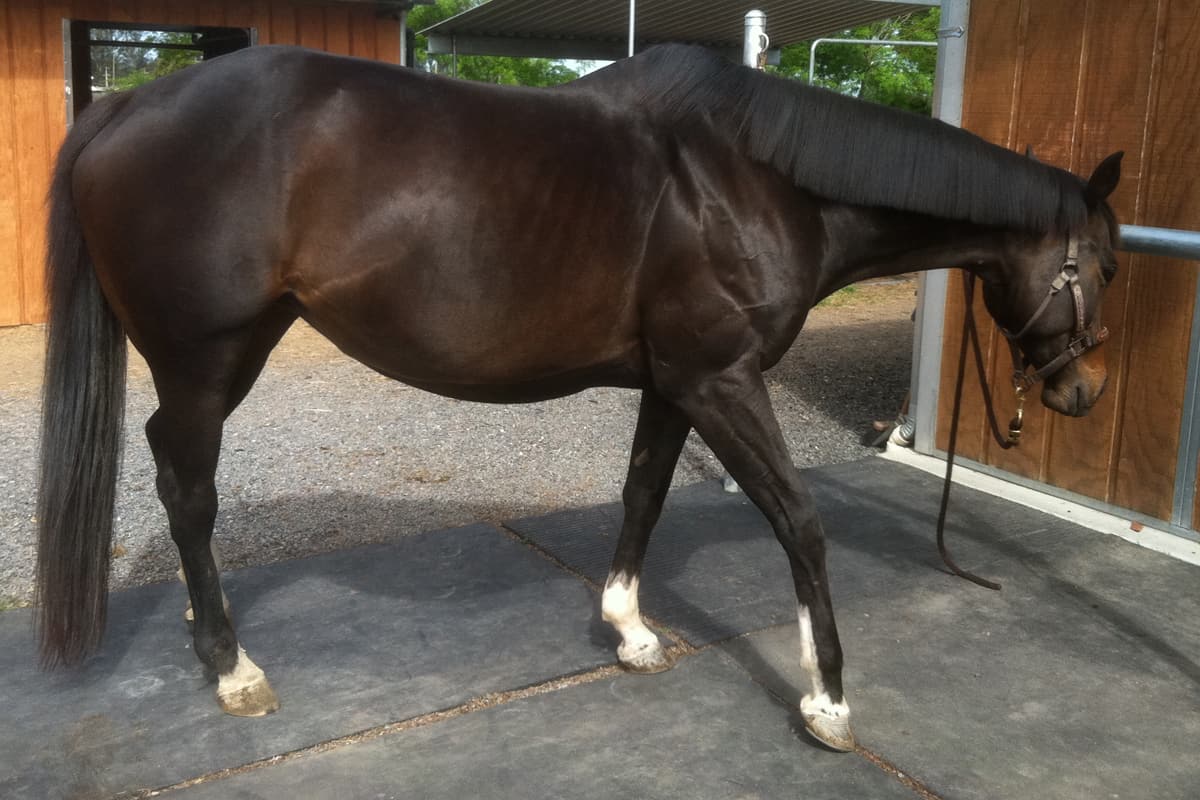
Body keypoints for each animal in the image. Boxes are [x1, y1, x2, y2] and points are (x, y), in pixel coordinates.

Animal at [36, 43, 1122, 752]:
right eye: (1104, 266)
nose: (1083, 389)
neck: (755, 181)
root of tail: (125, 105)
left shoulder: (677, 383)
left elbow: (643, 492)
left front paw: (629, 629)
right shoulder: (724, 379)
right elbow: (799, 521)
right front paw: (829, 701)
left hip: (232, 350)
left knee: (175, 473)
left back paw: (202, 626)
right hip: (204, 356)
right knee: (189, 489)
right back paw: (231, 666)